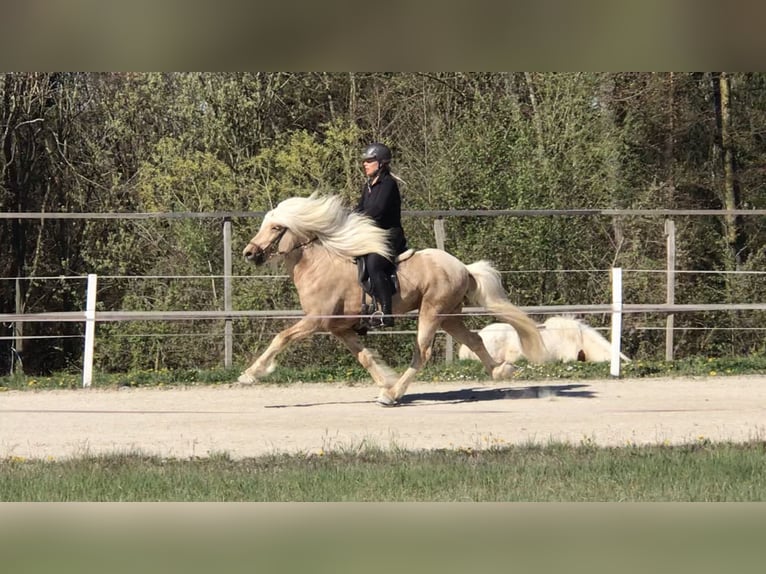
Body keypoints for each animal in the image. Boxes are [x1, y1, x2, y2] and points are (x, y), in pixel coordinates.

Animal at [240, 196, 544, 408]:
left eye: (276, 227)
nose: (249, 253)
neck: (318, 265)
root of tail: (462, 267)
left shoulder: (315, 320)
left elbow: (280, 338)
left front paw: (249, 375)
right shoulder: (340, 328)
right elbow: (364, 357)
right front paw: (384, 382)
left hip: (432, 312)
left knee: (423, 353)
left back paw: (394, 395)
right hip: (449, 316)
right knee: (474, 340)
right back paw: (501, 371)